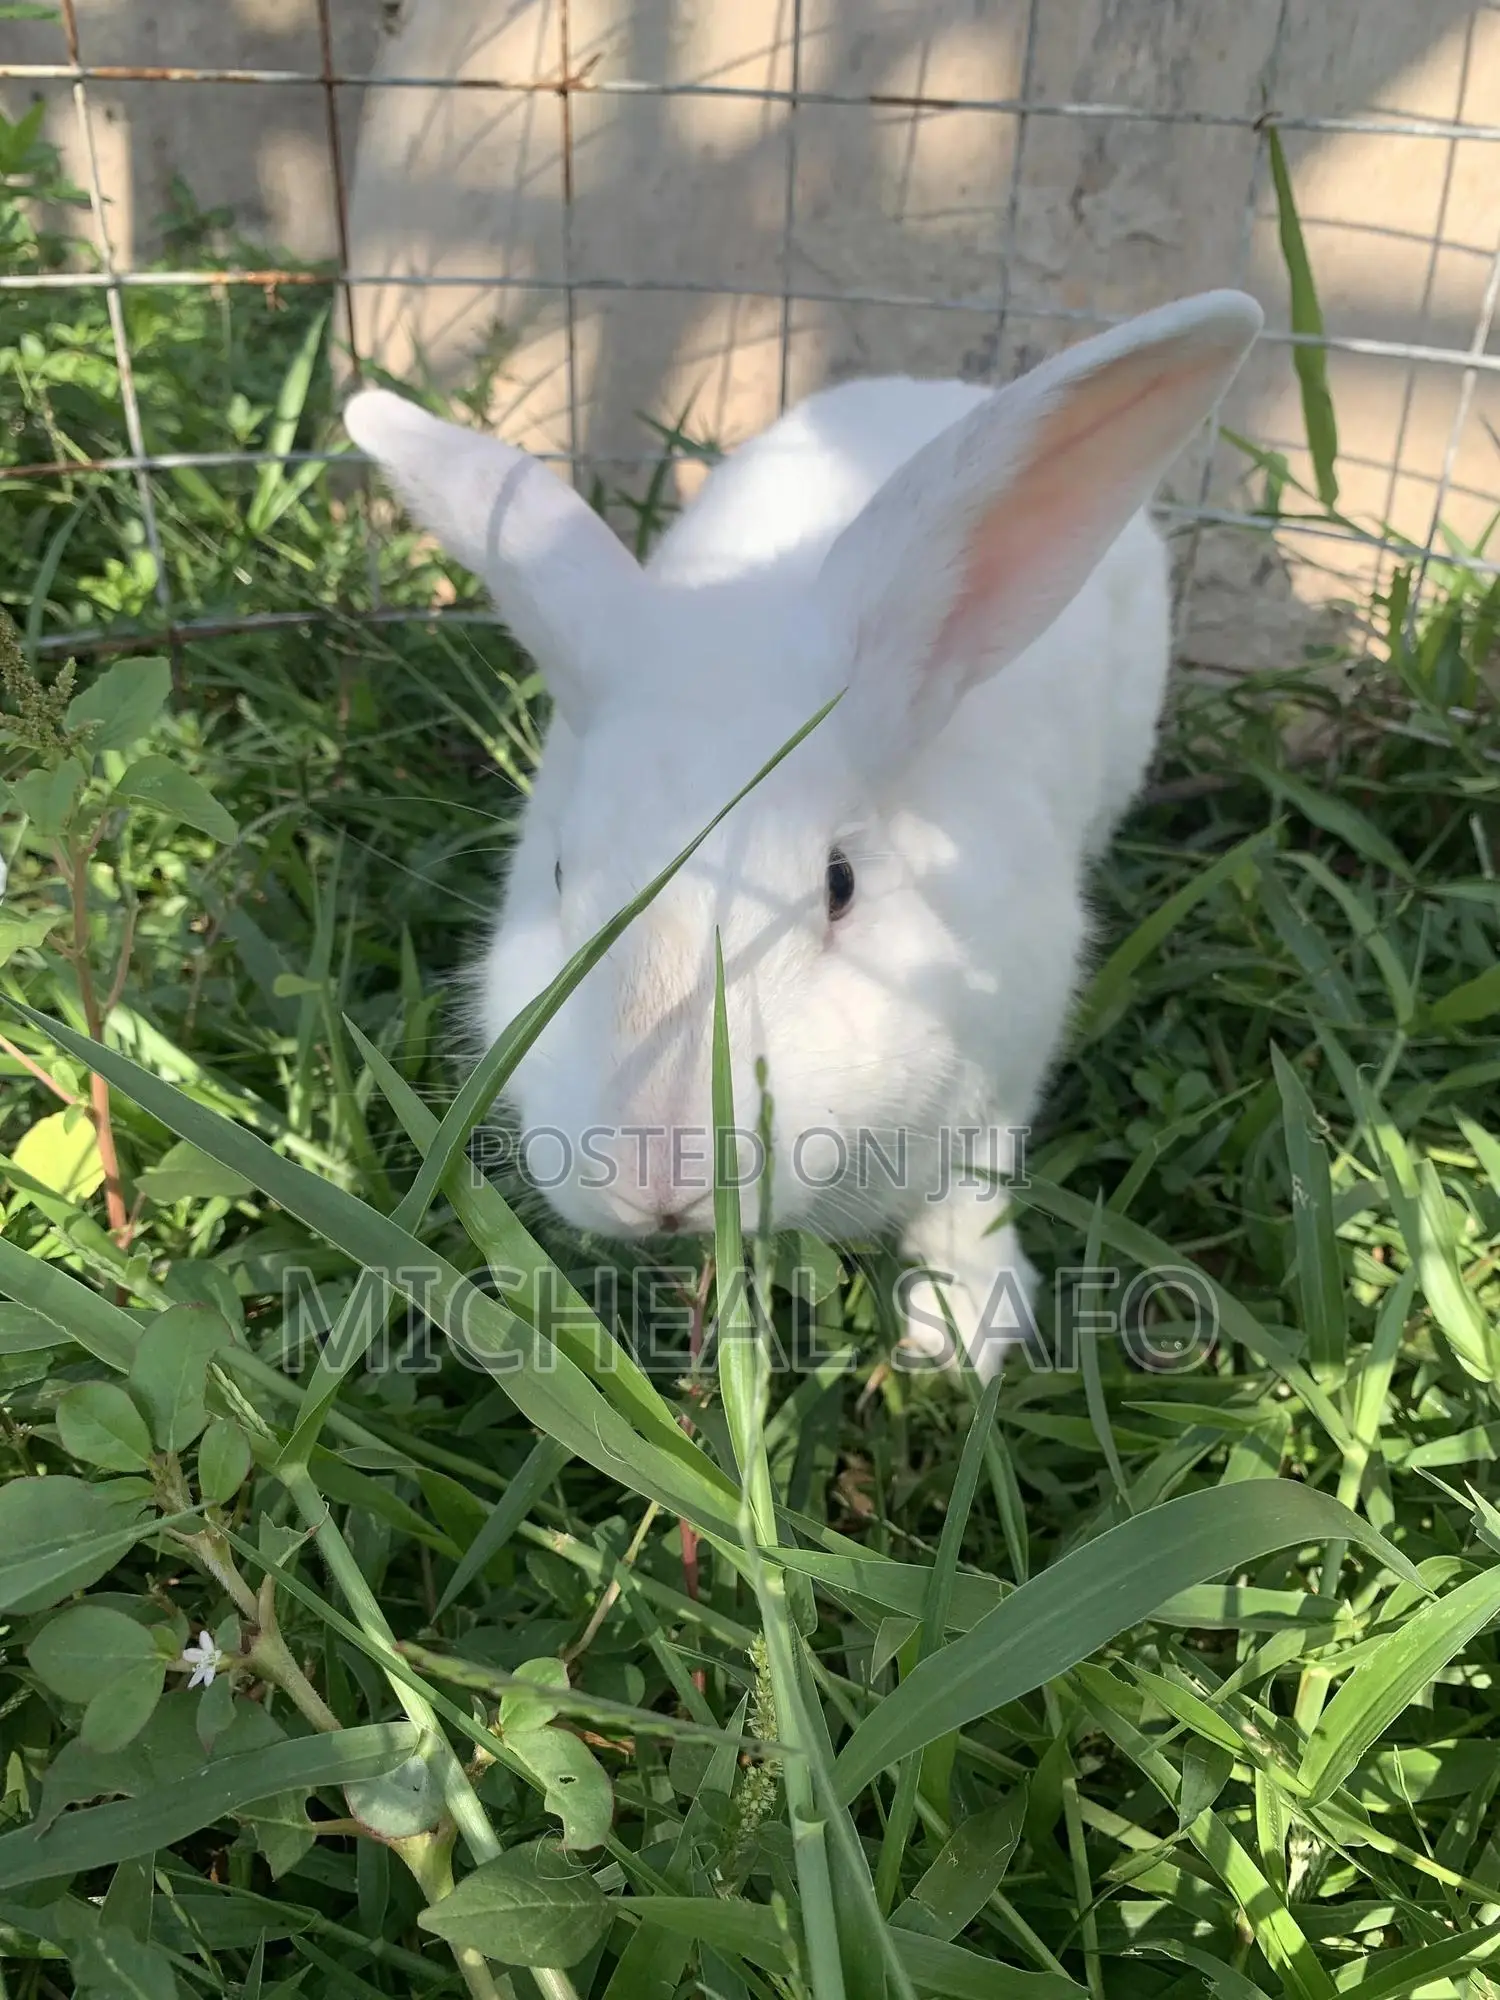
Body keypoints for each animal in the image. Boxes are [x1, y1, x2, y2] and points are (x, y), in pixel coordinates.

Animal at [344, 289, 1262, 1381]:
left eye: (841, 883)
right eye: (559, 875)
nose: (660, 1178)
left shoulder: (1003, 1073)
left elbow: (972, 1195)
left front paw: (962, 1332)